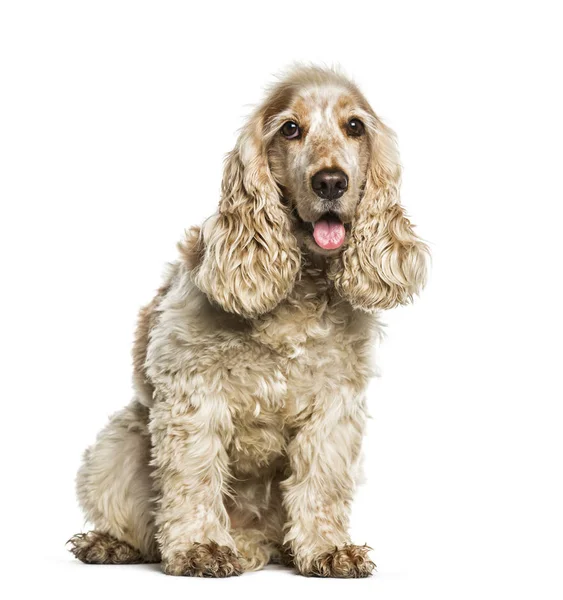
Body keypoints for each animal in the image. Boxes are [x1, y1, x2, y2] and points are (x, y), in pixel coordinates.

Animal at [68, 64, 430, 576]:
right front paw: (200, 546)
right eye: (290, 129)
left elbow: (322, 482)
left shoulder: (335, 404)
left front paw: (327, 548)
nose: (330, 182)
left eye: (354, 126)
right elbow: (194, 476)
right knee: (137, 524)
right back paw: (111, 543)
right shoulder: (193, 393)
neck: (299, 289)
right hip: (117, 441)